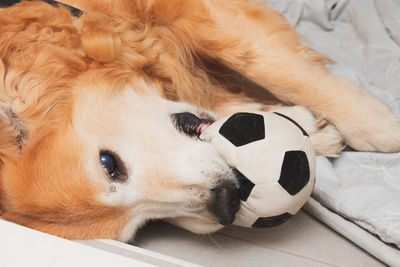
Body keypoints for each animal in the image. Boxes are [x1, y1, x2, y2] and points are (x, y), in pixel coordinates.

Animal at [0, 0, 400, 243]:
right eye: (141, 226)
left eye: (108, 163)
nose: (227, 202)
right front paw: (303, 124)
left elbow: (265, 62)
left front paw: (379, 127)